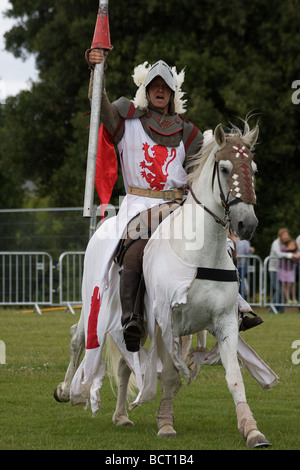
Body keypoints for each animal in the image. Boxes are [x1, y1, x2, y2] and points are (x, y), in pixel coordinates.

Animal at [54, 121, 272, 448]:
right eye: (224, 168)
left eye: (254, 169)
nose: (247, 224)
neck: (199, 252)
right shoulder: (166, 322)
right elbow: (169, 376)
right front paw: (166, 425)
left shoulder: (225, 322)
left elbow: (234, 377)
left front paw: (252, 430)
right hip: (96, 305)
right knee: (77, 338)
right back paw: (67, 390)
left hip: (132, 323)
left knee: (124, 361)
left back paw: (121, 415)